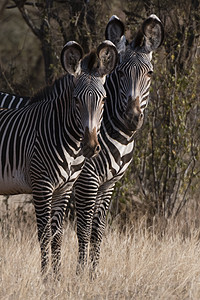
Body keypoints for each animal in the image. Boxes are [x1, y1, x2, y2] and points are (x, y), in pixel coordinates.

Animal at [0, 39, 117, 276]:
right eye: (76, 100)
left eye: (104, 100)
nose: (90, 147)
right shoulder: (42, 185)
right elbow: (44, 235)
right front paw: (45, 277)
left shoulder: (64, 189)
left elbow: (57, 236)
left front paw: (57, 277)